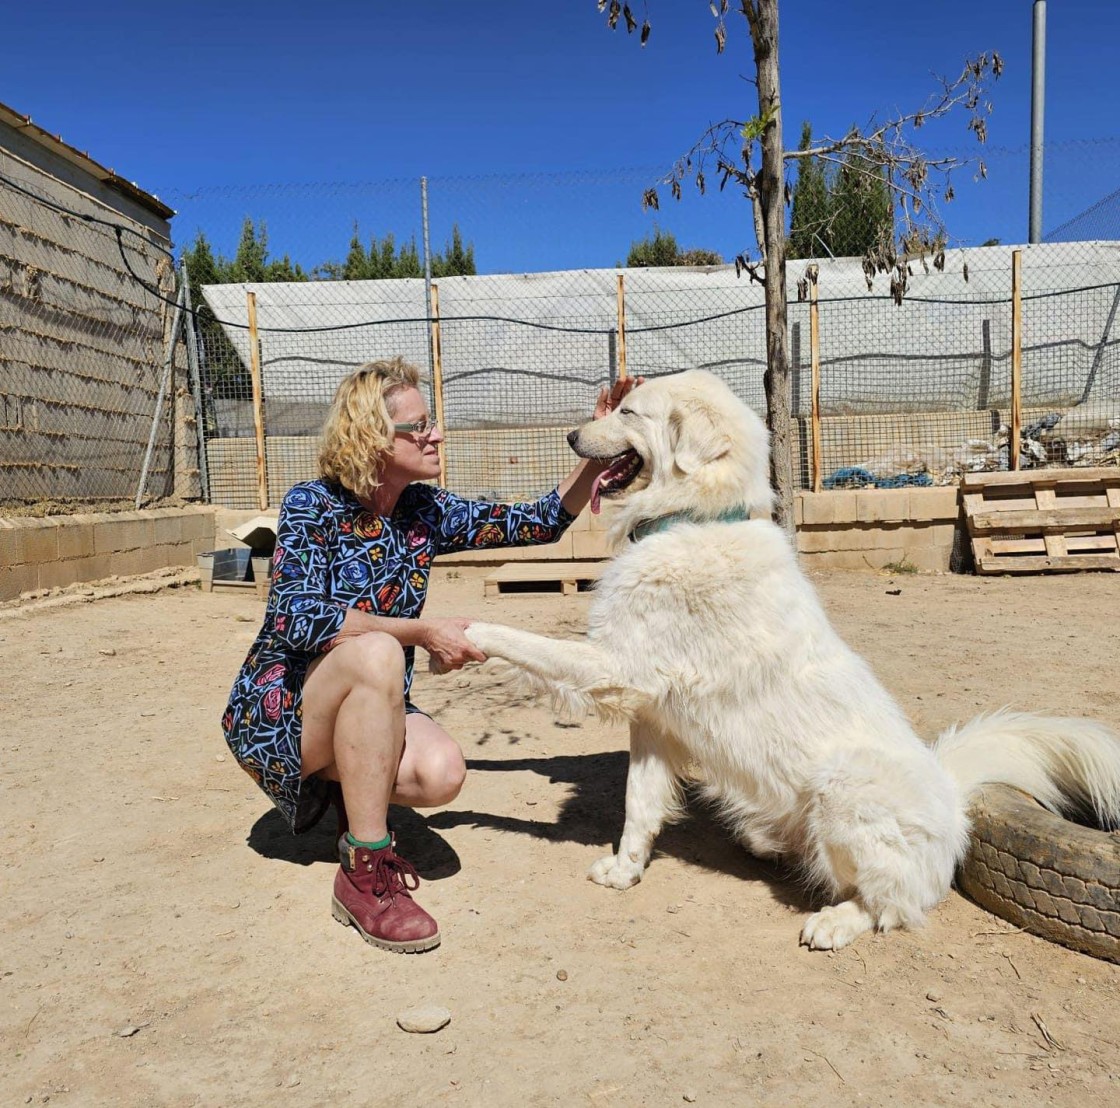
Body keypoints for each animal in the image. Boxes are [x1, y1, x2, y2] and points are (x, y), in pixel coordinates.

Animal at [461, 371, 1120, 950]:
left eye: (627, 412)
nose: (572, 438)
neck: (691, 521)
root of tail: (953, 797)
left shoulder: (616, 670)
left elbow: (527, 644)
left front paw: (465, 632)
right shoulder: (651, 718)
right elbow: (638, 806)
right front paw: (626, 871)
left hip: (841, 786)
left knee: (893, 905)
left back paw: (835, 923)